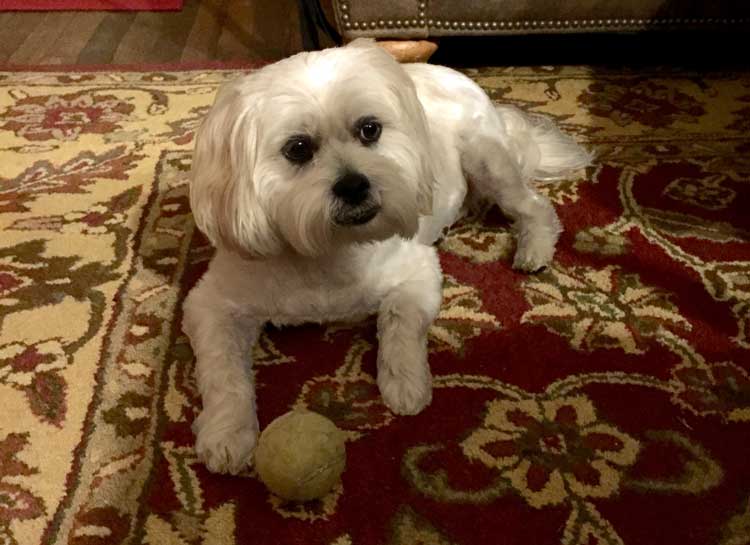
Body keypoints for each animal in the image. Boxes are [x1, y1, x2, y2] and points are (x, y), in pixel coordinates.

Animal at [184, 38, 592, 472]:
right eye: (298, 149)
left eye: (370, 129)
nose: (353, 185)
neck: (331, 250)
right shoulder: (212, 305)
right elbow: (223, 371)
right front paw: (228, 433)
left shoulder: (417, 273)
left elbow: (399, 323)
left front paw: (405, 386)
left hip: (486, 159)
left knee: (533, 205)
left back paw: (534, 247)